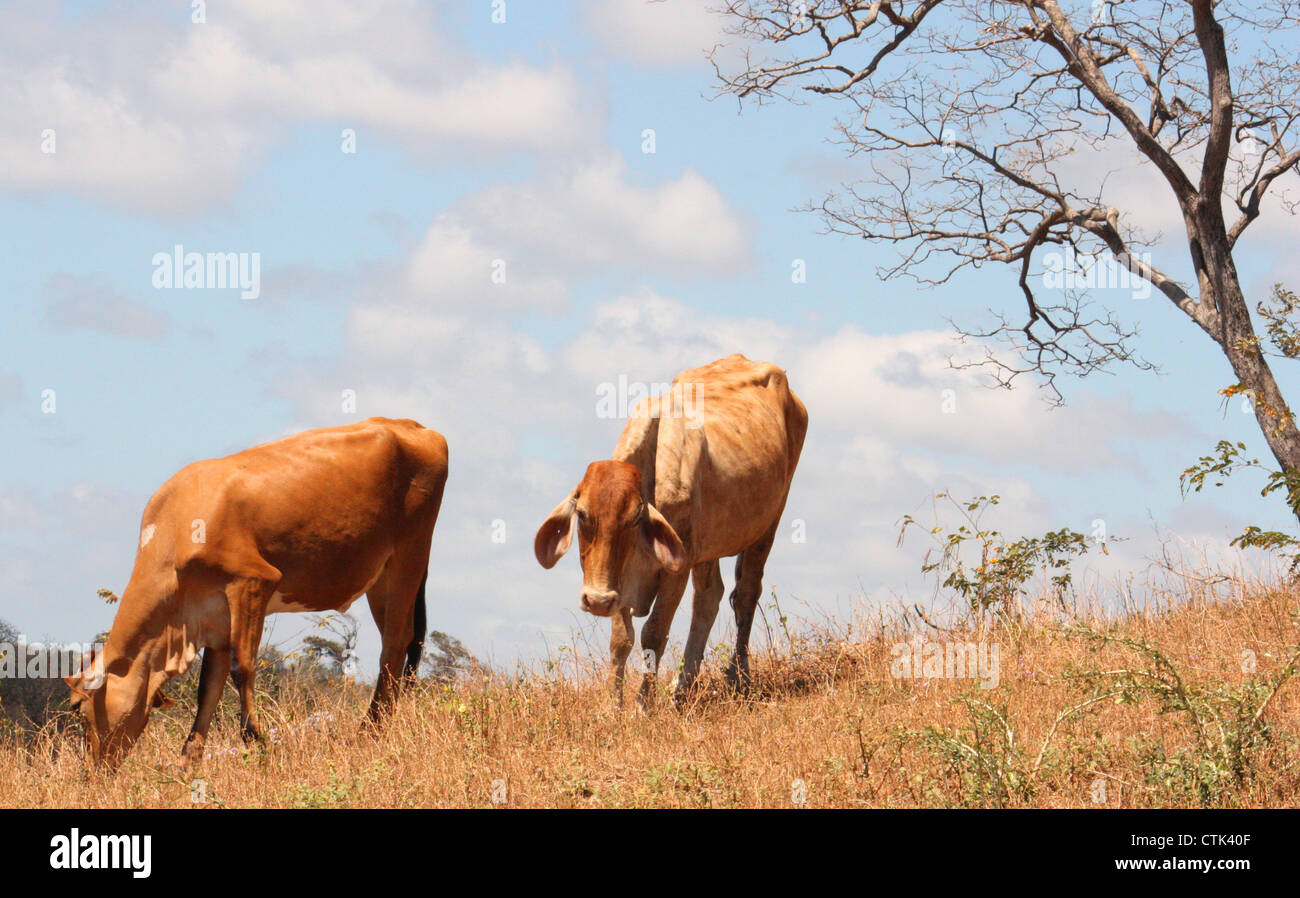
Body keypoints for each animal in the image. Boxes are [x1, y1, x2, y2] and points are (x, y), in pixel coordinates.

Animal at [67, 421, 452, 764]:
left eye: (79, 707)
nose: (90, 772)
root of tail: (413, 426)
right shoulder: (214, 618)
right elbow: (209, 688)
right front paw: (189, 761)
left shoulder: (252, 583)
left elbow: (243, 668)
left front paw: (256, 741)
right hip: (381, 576)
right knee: (399, 642)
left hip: (409, 555)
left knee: (396, 643)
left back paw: (371, 731)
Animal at [535, 356, 800, 706]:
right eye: (581, 513)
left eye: (635, 518)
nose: (597, 600)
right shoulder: (624, 577)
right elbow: (621, 639)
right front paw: (612, 706)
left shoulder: (677, 569)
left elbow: (654, 633)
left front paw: (643, 706)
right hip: (707, 547)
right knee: (709, 597)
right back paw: (683, 685)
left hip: (768, 523)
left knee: (746, 594)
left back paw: (738, 677)